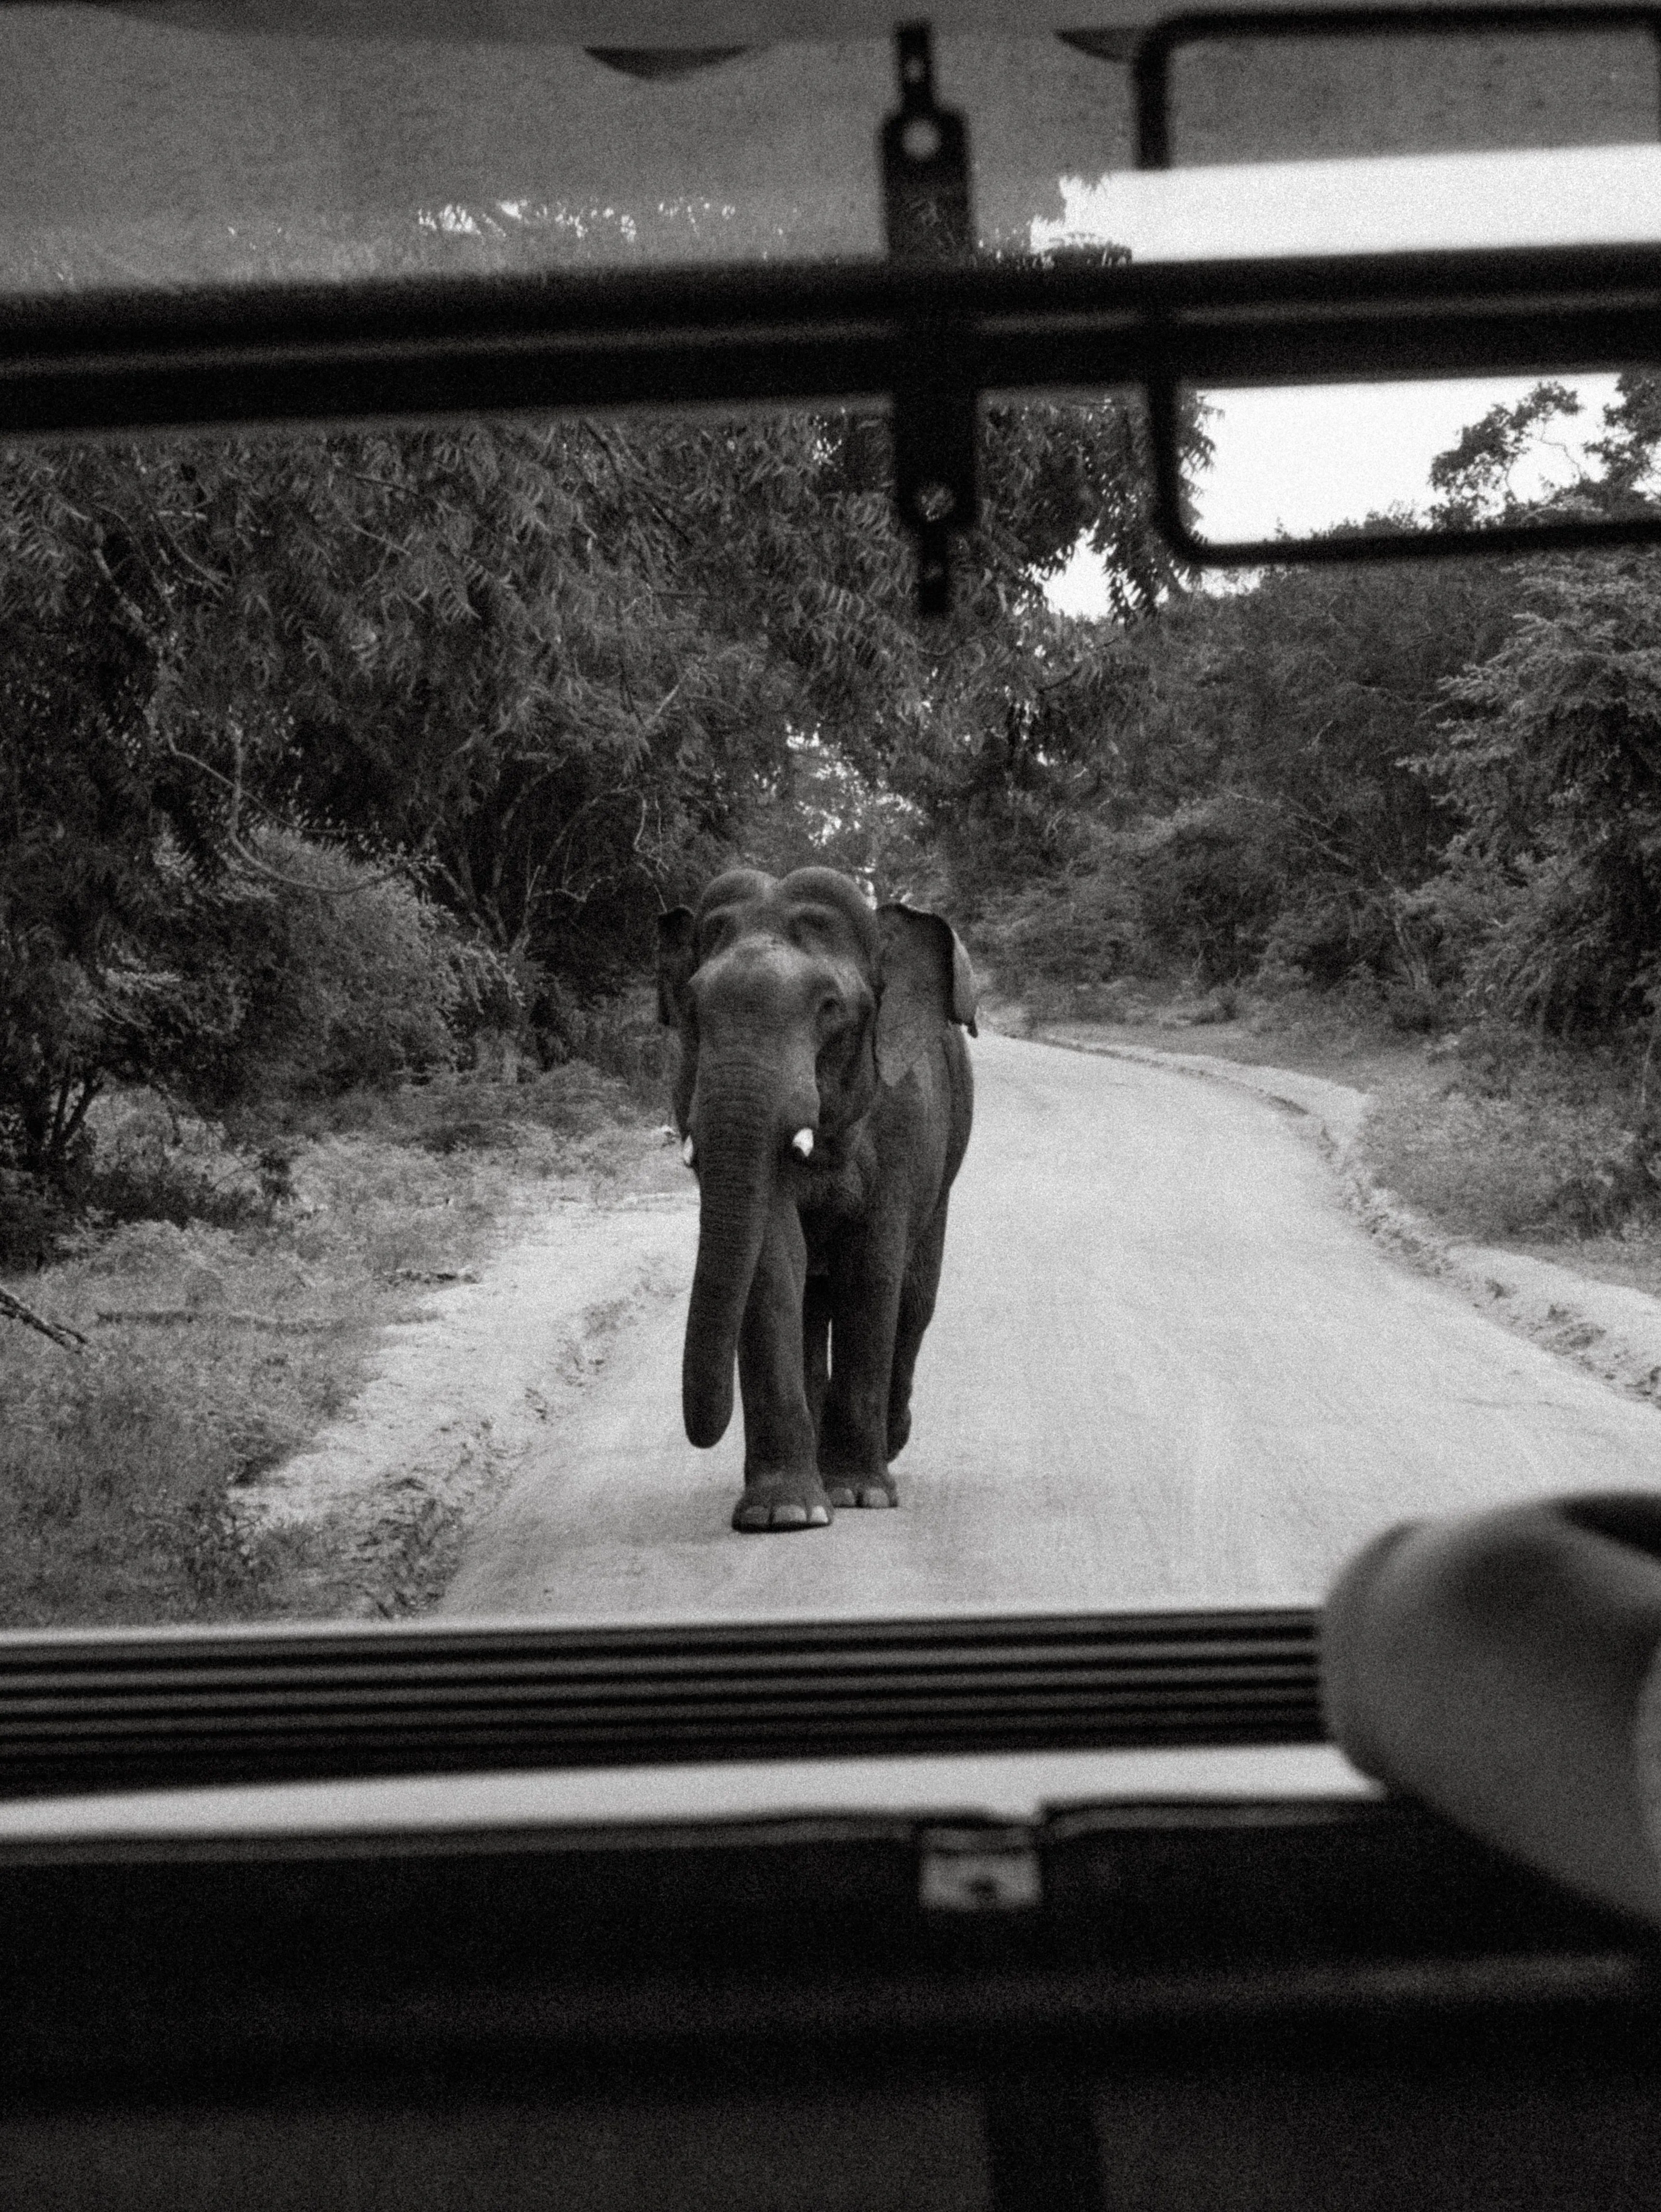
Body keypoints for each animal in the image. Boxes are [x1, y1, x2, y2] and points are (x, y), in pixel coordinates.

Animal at [656, 866, 976, 1532]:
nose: (703, 1431)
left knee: (915, 1296)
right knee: (812, 1297)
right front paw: (785, 1512)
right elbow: (773, 1262)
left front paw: (860, 1493)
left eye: (829, 1007)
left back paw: (887, 1444)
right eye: (693, 1008)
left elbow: (872, 1268)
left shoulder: (905, 1122)